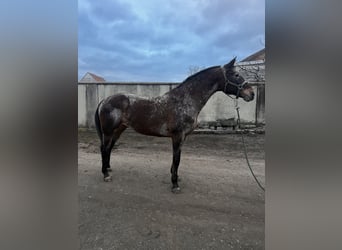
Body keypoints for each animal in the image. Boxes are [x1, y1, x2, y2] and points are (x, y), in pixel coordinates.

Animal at [95, 57, 255, 192]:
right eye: (236, 75)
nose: (251, 94)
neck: (185, 100)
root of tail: (105, 100)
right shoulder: (178, 135)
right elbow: (177, 159)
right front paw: (175, 184)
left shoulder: (182, 137)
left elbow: (177, 159)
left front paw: (175, 177)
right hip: (108, 131)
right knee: (104, 149)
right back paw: (105, 175)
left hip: (119, 129)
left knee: (109, 148)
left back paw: (108, 169)